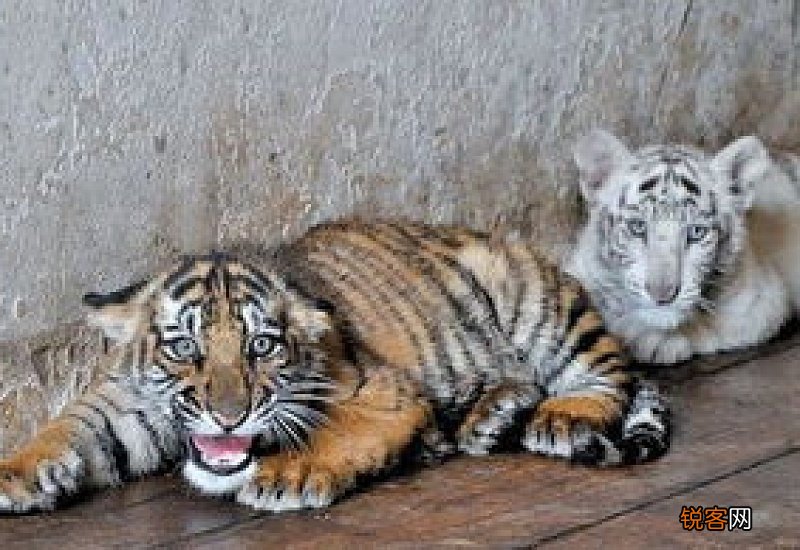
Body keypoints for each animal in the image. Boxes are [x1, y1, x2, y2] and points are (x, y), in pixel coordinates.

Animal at [0, 221, 669, 513]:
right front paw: (18, 474)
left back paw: (562, 416)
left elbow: (336, 430)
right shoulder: (127, 404)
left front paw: (289, 476)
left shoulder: (383, 392)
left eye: (261, 346)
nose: (227, 417)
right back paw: (489, 417)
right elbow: (71, 426)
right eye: (183, 347)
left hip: (531, 296)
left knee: (607, 373)